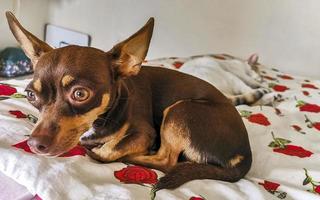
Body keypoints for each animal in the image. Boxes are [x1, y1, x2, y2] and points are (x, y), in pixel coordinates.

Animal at [5, 11, 252, 191]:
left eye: (80, 94)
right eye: (31, 95)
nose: (35, 144)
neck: (101, 117)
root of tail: (245, 155)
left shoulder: (144, 132)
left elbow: (109, 150)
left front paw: (102, 147)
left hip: (180, 110)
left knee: (167, 161)